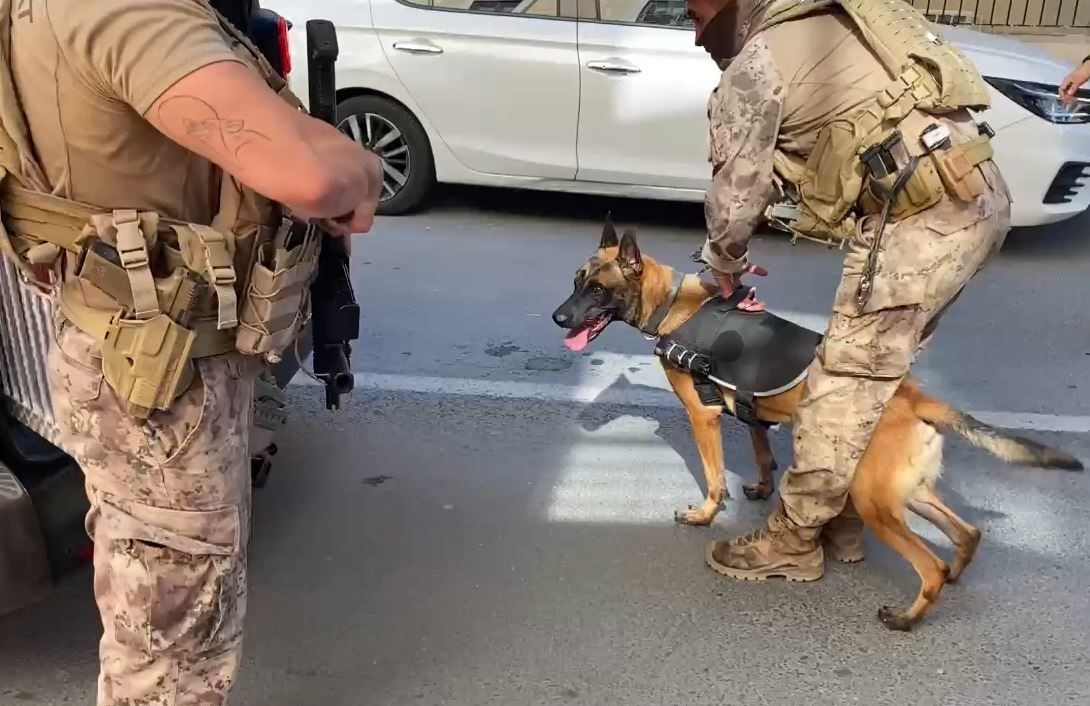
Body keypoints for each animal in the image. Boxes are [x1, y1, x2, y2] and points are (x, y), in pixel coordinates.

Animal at [553, 217, 1081, 631]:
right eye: (576, 281)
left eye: (597, 289)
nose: (558, 317)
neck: (672, 304)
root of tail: (915, 395)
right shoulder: (752, 415)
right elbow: (762, 454)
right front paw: (761, 488)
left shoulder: (703, 419)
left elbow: (713, 477)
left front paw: (705, 514)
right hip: (904, 491)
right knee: (968, 533)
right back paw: (954, 574)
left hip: (875, 502)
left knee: (928, 566)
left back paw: (906, 617)